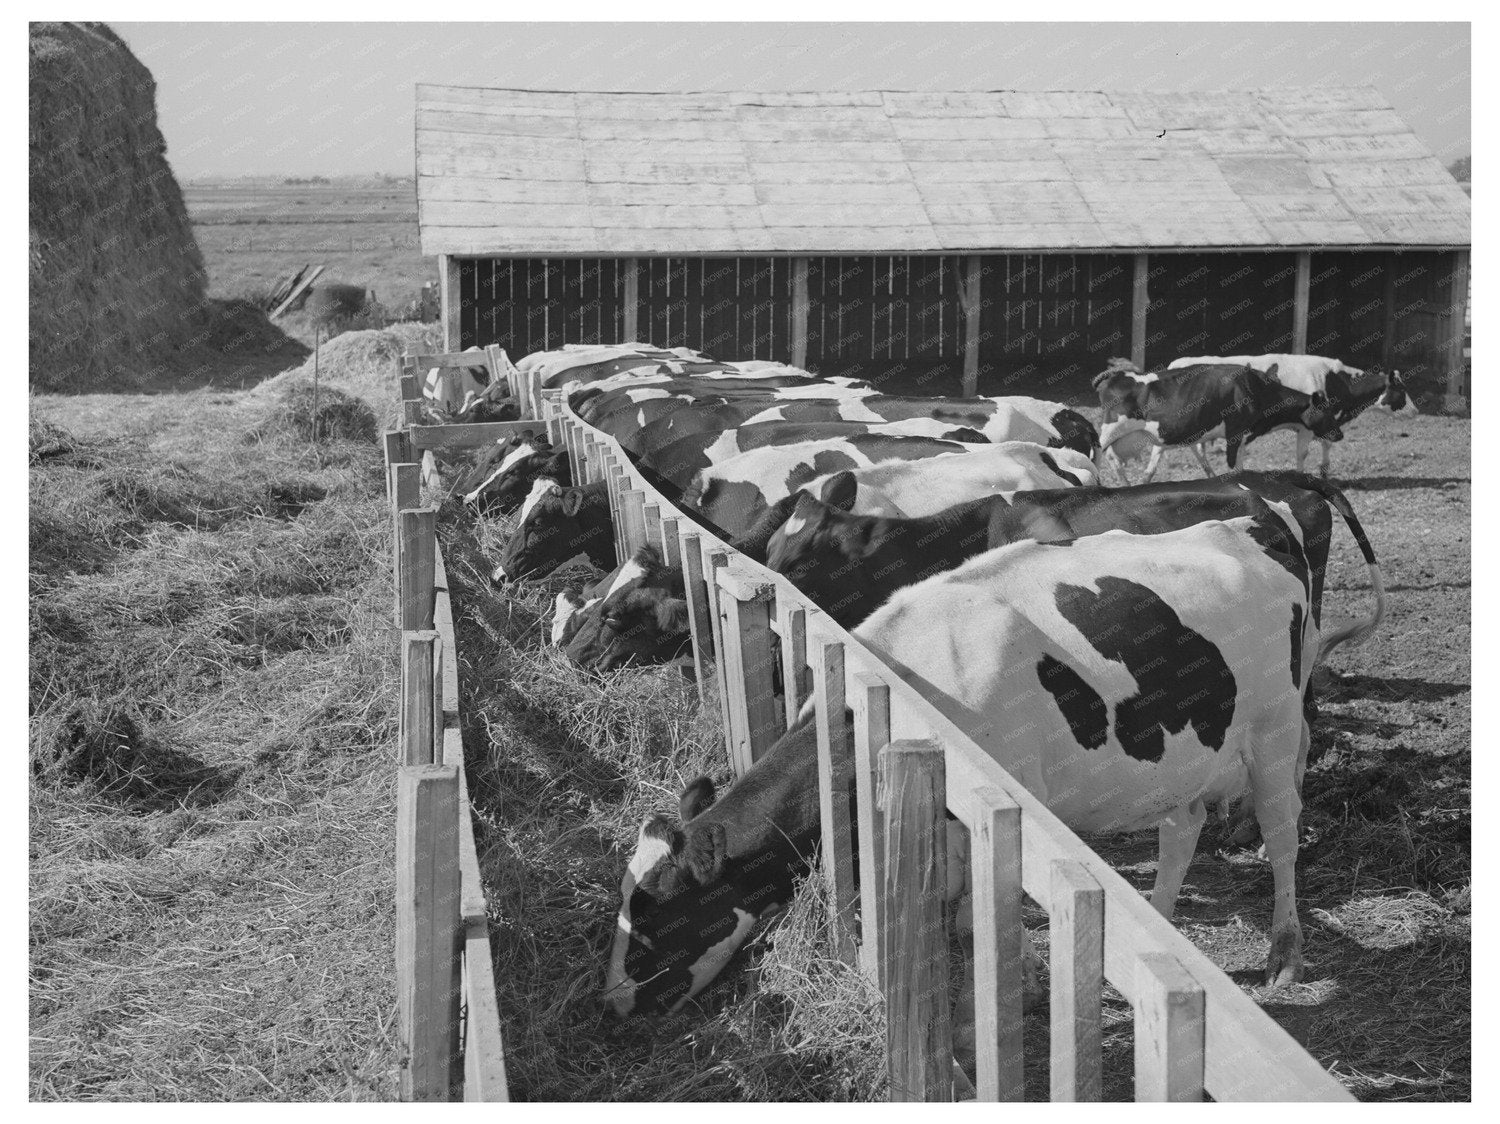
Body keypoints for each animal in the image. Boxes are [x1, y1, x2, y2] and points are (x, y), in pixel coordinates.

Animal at [603, 513, 1319, 1019]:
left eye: (653, 922)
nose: (610, 1005)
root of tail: (1243, 527)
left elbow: (983, 920)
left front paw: (1017, 988)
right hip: (1186, 757)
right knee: (1182, 829)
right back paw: (1163, 913)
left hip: (1276, 731)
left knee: (1283, 833)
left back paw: (1284, 952)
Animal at [1093, 361, 1343, 482]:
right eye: (1328, 412)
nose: (1340, 434)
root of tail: (1116, 375)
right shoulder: (1234, 432)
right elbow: (1232, 466)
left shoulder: (1243, 436)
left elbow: (1239, 466)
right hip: (1111, 429)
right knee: (1101, 456)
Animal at [1169, 354, 1409, 475]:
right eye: (1401, 390)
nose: (1415, 410)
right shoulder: (1308, 426)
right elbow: (1303, 453)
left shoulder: (1326, 422)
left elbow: (1326, 443)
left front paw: (1324, 469)